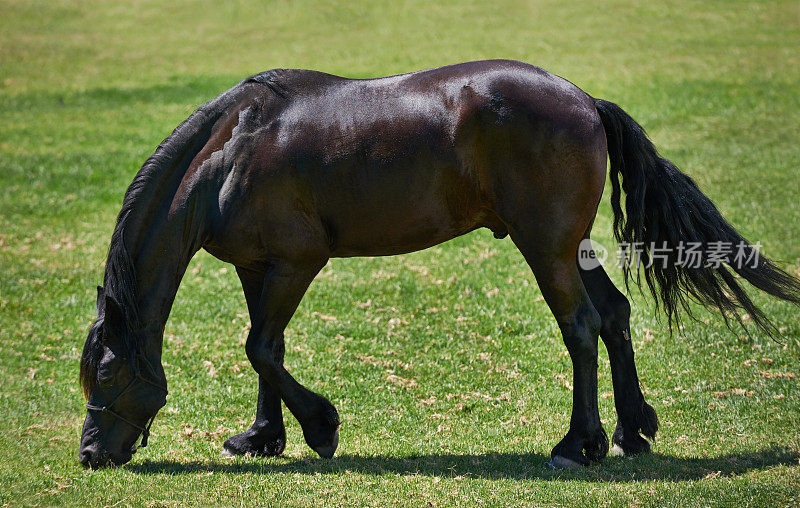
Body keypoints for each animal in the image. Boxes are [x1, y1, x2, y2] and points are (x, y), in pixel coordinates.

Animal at [76, 60, 800, 468]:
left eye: (106, 377)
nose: (89, 454)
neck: (231, 152)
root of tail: (584, 100)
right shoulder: (259, 268)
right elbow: (265, 351)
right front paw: (260, 438)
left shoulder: (297, 262)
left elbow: (260, 349)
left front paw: (321, 428)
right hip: (572, 247)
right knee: (616, 317)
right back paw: (631, 431)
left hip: (545, 247)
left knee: (582, 327)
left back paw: (579, 446)